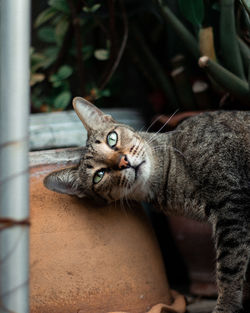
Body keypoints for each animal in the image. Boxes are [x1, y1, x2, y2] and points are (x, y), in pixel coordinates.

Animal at [45, 96, 250, 310]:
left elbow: (230, 266)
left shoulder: (230, 201)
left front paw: (226, 306)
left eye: (112, 139)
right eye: (99, 175)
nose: (123, 161)